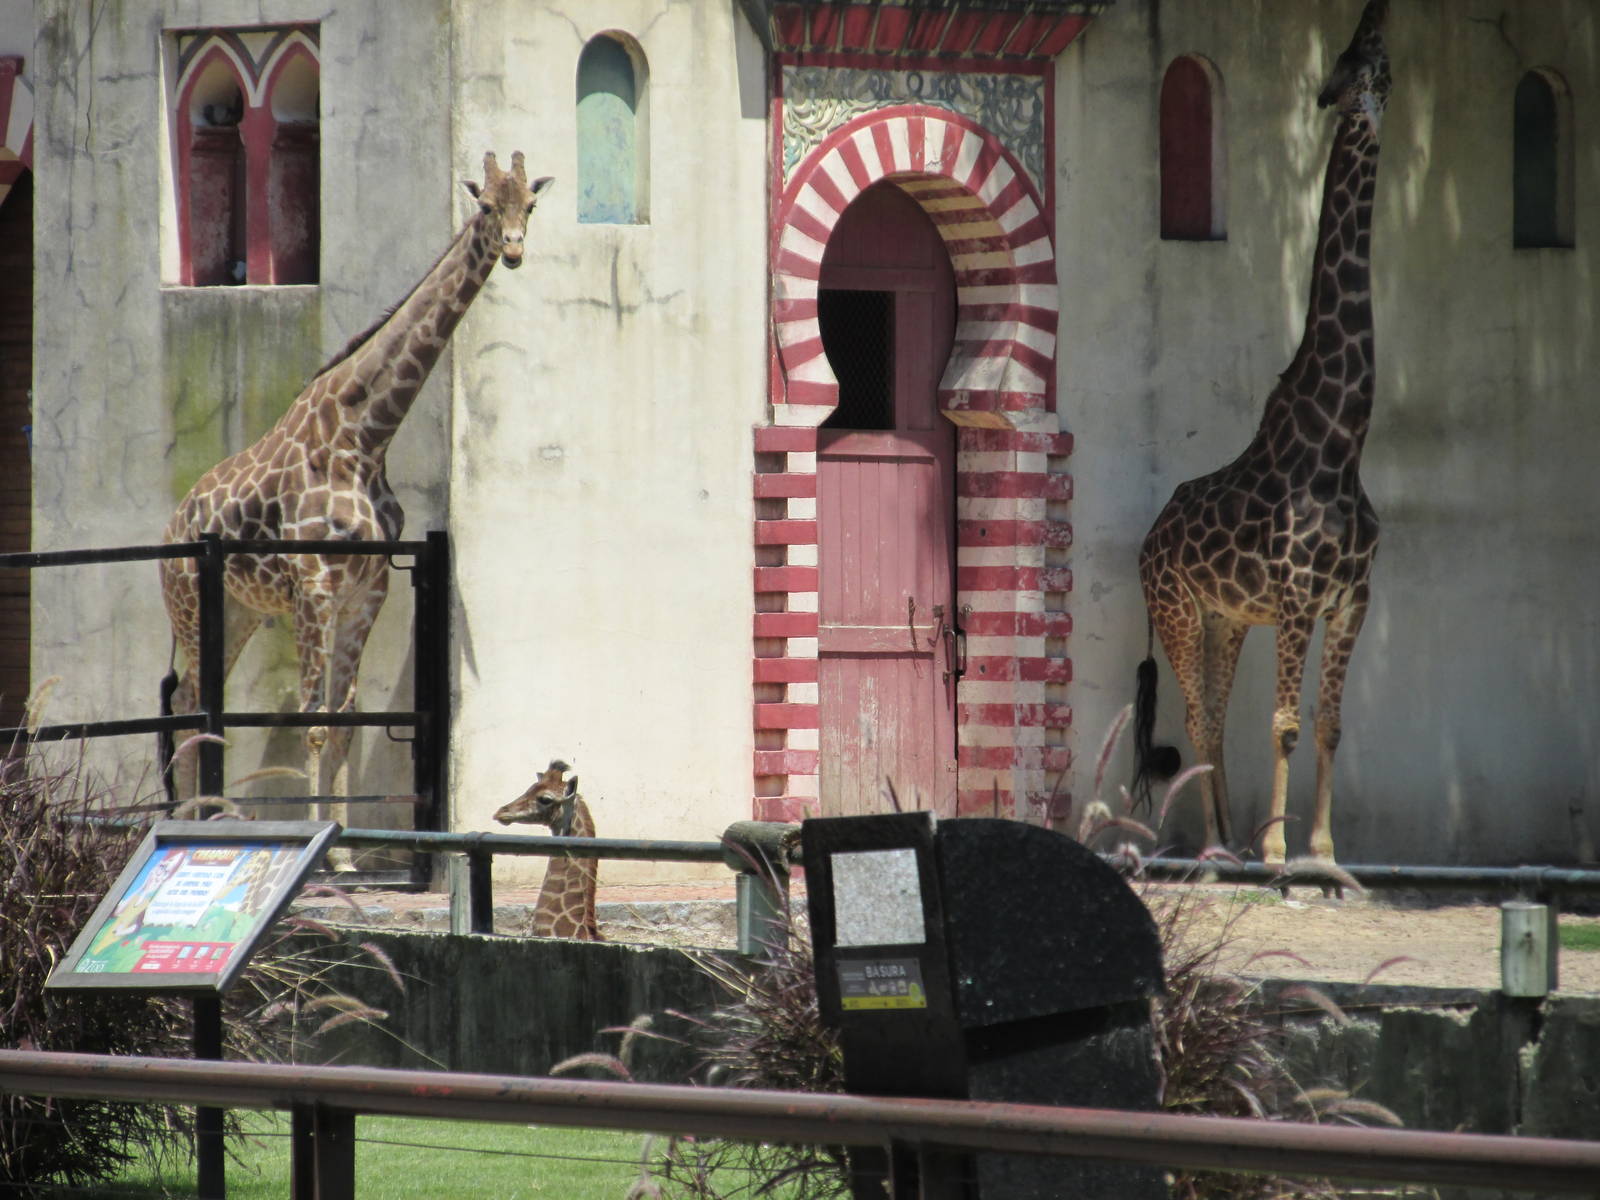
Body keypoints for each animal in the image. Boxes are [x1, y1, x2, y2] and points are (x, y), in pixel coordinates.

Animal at [159, 152, 553, 863]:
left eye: (529, 207)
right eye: (486, 206)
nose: (512, 251)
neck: (363, 438)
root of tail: (174, 523)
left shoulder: (367, 592)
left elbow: (346, 720)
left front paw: (341, 848)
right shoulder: (314, 588)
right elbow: (315, 724)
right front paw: (318, 843)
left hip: (237, 611)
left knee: (202, 701)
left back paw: (208, 817)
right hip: (189, 605)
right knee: (186, 709)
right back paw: (189, 821)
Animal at [1134, 1, 1390, 868]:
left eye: (1384, 66)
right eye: (1348, 63)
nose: (1362, 110)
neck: (1342, 438)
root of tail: (1149, 538)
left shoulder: (1351, 598)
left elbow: (1331, 724)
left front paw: (1326, 853)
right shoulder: (1297, 595)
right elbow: (1280, 725)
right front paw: (1281, 854)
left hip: (1225, 619)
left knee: (1212, 715)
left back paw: (1229, 846)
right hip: (1179, 609)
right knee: (1197, 716)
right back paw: (1220, 849)